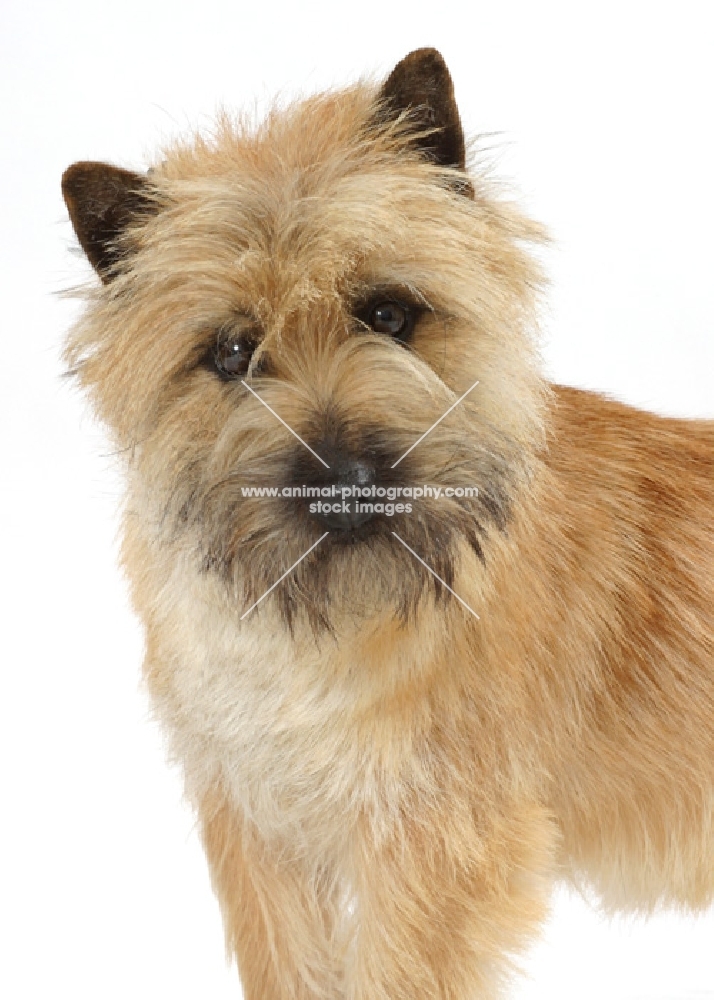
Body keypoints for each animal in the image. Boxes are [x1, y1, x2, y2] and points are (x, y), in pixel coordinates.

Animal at [62, 47, 712, 1000]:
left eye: (390, 313)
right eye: (232, 353)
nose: (346, 477)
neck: (311, 638)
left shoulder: (431, 848)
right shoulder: (259, 832)